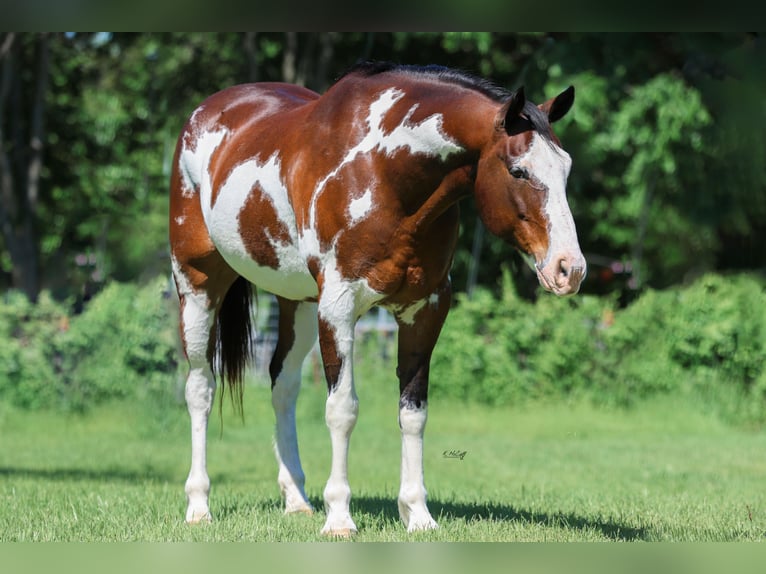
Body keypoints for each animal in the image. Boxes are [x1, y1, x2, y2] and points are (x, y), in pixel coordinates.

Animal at [169, 61, 586, 537]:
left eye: (565, 169)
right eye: (519, 171)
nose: (570, 269)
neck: (385, 172)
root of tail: (205, 112)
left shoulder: (425, 309)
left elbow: (413, 412)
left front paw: (417, 514)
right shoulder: (339, 306)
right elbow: (342, 409)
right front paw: (339, 517)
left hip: (298, 301)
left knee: (283, 384)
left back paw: (296, 499)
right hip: (197, 284)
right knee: (200, 388)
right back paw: (199, 505)